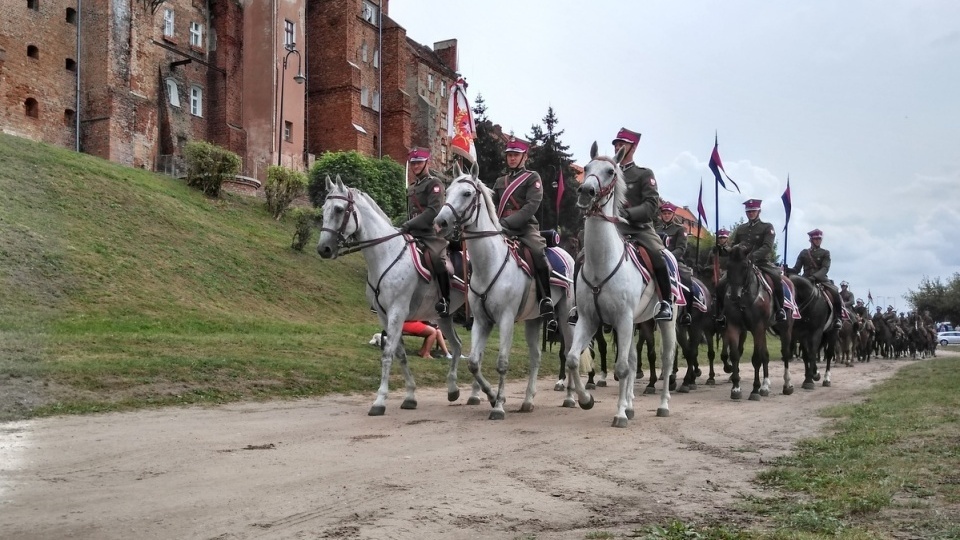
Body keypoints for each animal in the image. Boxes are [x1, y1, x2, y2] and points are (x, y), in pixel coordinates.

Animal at [318, 175, 468, 416]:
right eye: (324, 209)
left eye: (339, 209)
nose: (323, 249)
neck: (386, 254)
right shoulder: (385, 316)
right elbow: (401, 355)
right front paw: (410, 396)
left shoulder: (397, 312)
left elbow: (387, 354)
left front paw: (379, 401)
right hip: (444, 317)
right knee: (457, 345)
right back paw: (455, 389)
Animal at [436, 162, 576, 420]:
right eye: (447, 191)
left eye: (467, 193)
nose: (440, 222)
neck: (489, 263)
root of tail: (566, 254)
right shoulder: (482, 320)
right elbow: (473, 361)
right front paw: (490, 396)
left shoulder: (506, 319)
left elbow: (502, 363)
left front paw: (499, 406)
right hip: (534, 319)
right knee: (536, 356)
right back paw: (528, 401)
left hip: (564, 315)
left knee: (570, 350)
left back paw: (571, 397)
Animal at [564, 142, 676, 426]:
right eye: (587, 167)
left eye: (610, 172)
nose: (586, 191)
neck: (602, 263)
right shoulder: (589, 320)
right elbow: (573, 359)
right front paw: (586, 400)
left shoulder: (623, 320)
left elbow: (623, 367)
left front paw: (620, 414)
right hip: (637, 323)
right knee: (634, 359)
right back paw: (631, 405)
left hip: (665, 322)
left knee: (666, 359)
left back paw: (663, 405)